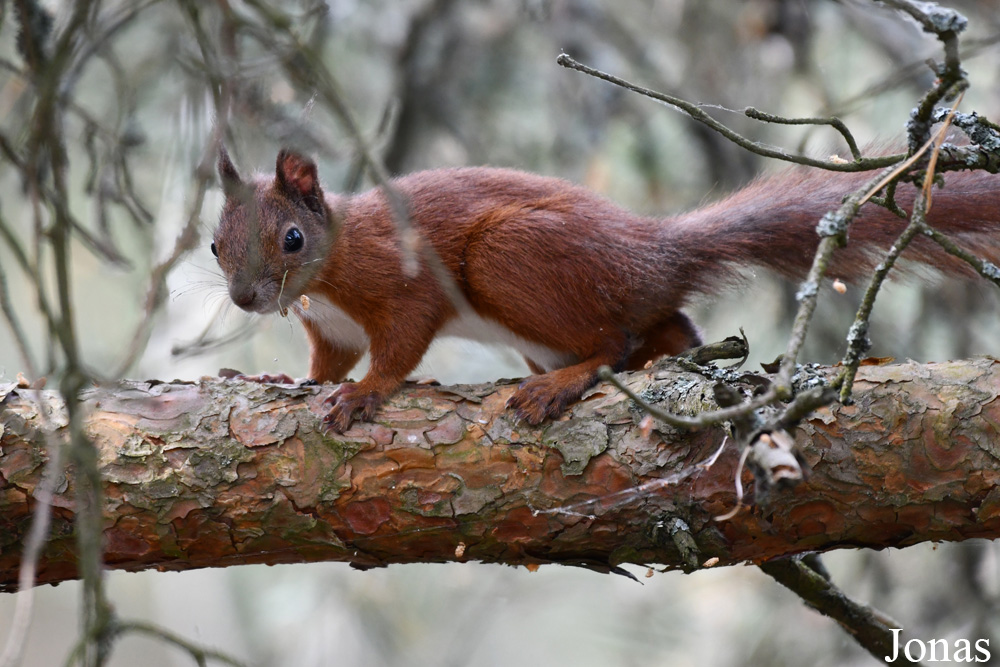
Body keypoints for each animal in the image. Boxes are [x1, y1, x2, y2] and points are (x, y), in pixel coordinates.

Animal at [213, 147, 1000, 434]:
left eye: (292, 239)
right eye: (215, 243)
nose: (246, 300)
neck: (327, 278)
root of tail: (652, 253)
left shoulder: (400, 284)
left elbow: (399, 345)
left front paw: (366, 393)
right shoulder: (332, 329)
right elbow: (323, 364)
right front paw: (280, 378)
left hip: (508, 259)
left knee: (614, 344)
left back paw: (565, 383)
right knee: (669, 332)